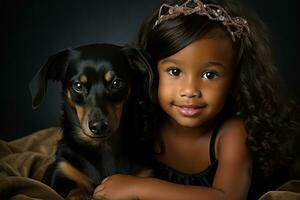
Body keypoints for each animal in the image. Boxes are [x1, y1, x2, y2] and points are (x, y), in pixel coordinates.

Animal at [29, 43, 152, 198]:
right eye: (78, 85)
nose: (98, 126)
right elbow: (76, 191)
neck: (104, 148)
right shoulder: (64, 172)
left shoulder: (144, 175)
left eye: (116, 83)